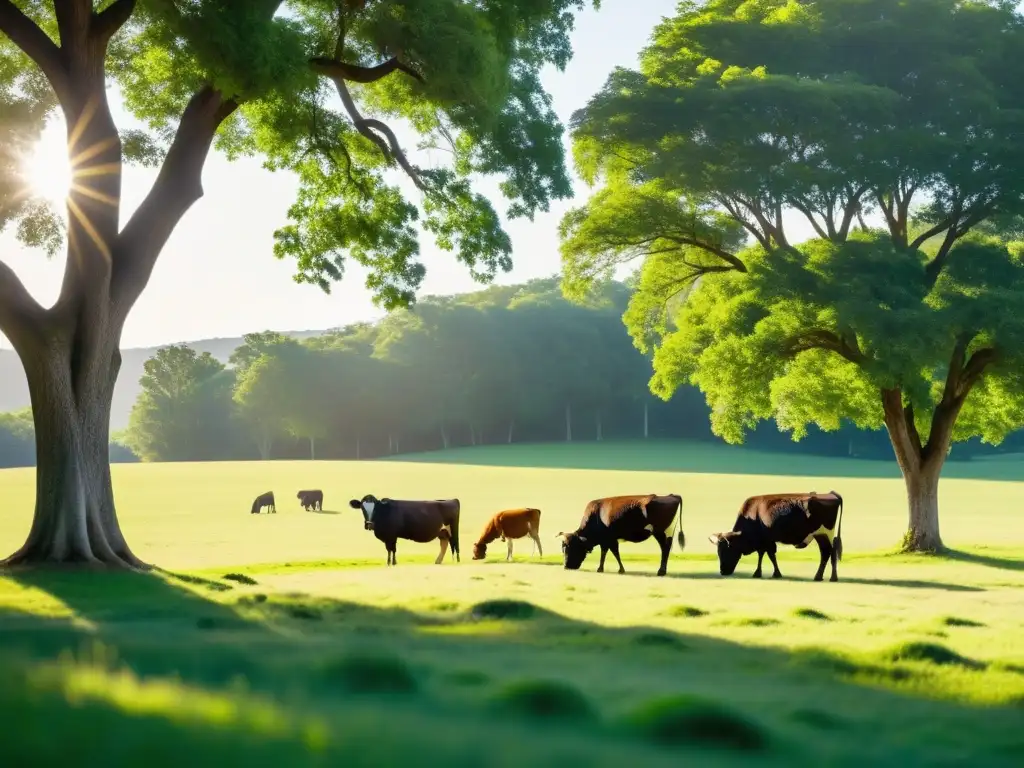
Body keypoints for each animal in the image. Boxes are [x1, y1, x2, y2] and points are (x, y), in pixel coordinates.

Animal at [708, 493, 843, 581]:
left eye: (727, 551)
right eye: (718, 552)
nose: (722, 571)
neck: (753, 516)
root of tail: (832, 494)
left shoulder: (767, 541)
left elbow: (770, 555)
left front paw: (772, 573)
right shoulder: (764, 542)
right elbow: (764, 555)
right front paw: (761, 573)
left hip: (826, 534)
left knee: (831, 552)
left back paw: (831, 577)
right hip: (820, 536)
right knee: (826, 553)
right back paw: (820, 577)